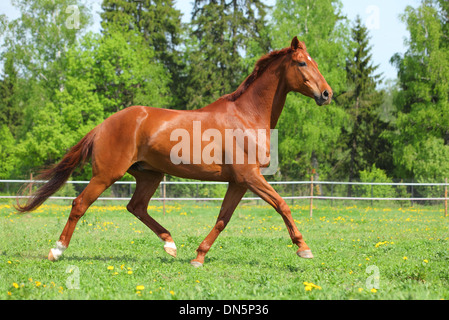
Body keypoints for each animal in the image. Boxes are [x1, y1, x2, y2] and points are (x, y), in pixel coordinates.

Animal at [17, 36, 330, 266]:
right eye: (302, 63)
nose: (326, 94)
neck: (246, 117)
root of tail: (104, 124)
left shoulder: (239, 182)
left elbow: (223, 219)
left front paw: (199, 257)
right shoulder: (250, 177)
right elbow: (282, 205)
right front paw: (304, 248)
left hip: (149, 175)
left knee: (136, 207)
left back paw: (170, 244)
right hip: (107, 175)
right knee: (80, 204)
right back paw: (56, 251)